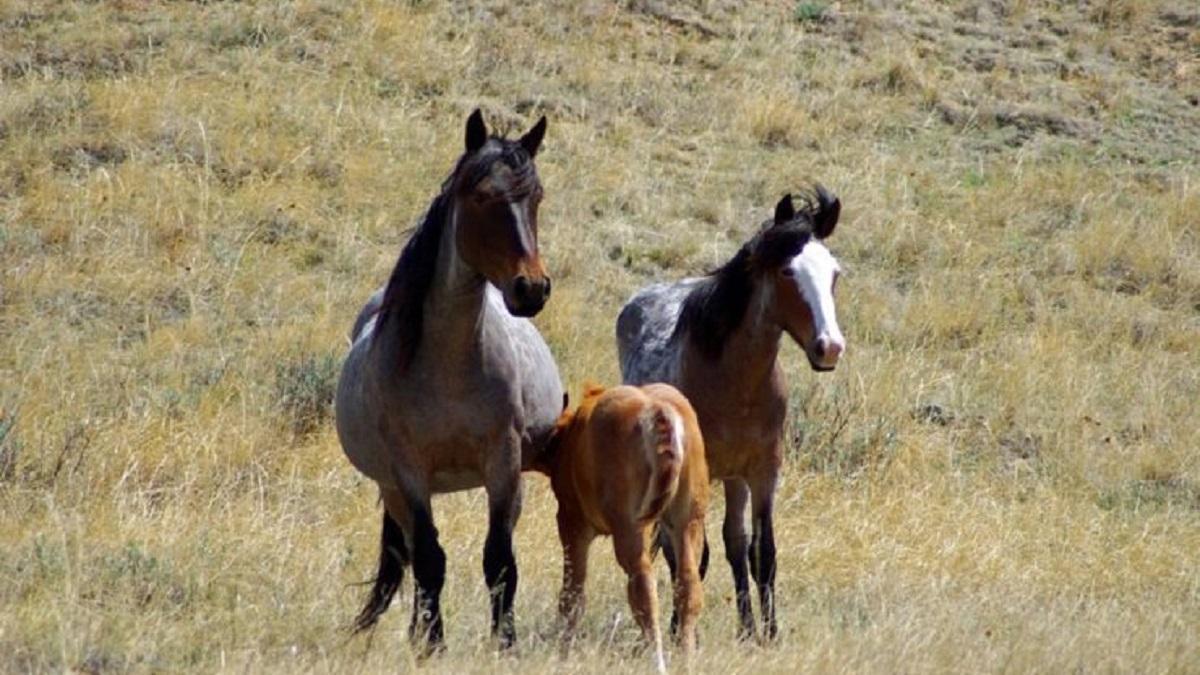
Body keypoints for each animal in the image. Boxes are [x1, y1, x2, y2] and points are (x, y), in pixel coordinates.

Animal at [336, 109, 564, 653]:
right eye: (480, 196)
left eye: (537, 196)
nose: (531, 288)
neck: (449, 369)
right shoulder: (410, 472)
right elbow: (430, 560)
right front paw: (433, 646)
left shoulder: (503, 462)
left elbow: (499, 560)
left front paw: (506, 643)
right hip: (392, 488)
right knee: (410, 554)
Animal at [530, 381, 705, 667]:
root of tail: (659, 412)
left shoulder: (571, 524)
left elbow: (572, 595)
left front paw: (562, 654)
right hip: (688, 521)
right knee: (688, 583)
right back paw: (687, 659)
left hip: (630, 529)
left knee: (643, 586)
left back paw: (657, 660)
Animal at [619, 186, 844, 638]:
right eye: (788, 272)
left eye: (834, 273)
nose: (829, 347)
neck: (736, 386)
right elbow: (691, 556)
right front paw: (681, 628)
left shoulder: (764, 470)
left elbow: (762, 553)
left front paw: (768, 634)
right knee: (677, 548)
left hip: (735, 478)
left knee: (734, 544)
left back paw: (746, 626)